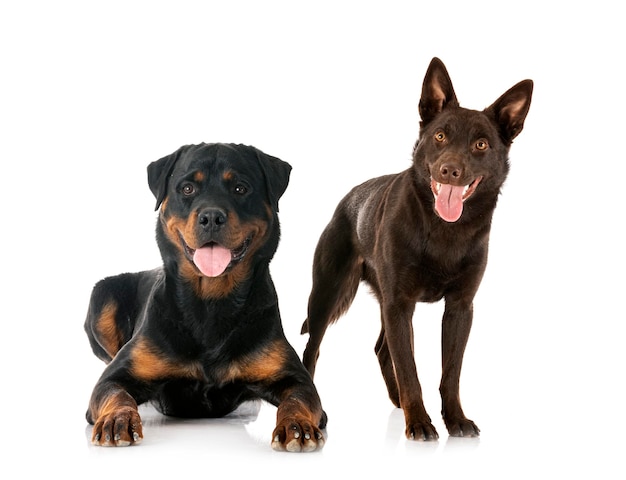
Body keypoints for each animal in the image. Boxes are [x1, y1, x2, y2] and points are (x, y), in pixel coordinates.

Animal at [85, 144, 326, 452]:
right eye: (187, 188)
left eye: (240, 188)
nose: (211, 216)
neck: (211, 303)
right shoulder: (114, 378)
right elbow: (117, 394)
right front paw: (116, 420)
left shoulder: (297, 379)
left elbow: (297, 399)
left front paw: (297, 426)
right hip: (102, 296)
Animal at [302, 58, 532, 440]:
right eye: (440, 136)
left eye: (481, 145)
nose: (450, 170)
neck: (444, 231)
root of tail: (347, 200)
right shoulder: (400, 304)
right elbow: (410, 370)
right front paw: (421, 422)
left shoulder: (459, 308)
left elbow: (450, 373)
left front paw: (455, 419)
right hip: (327, 295)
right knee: (312, 349)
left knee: (382, 349)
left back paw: (397, 401)